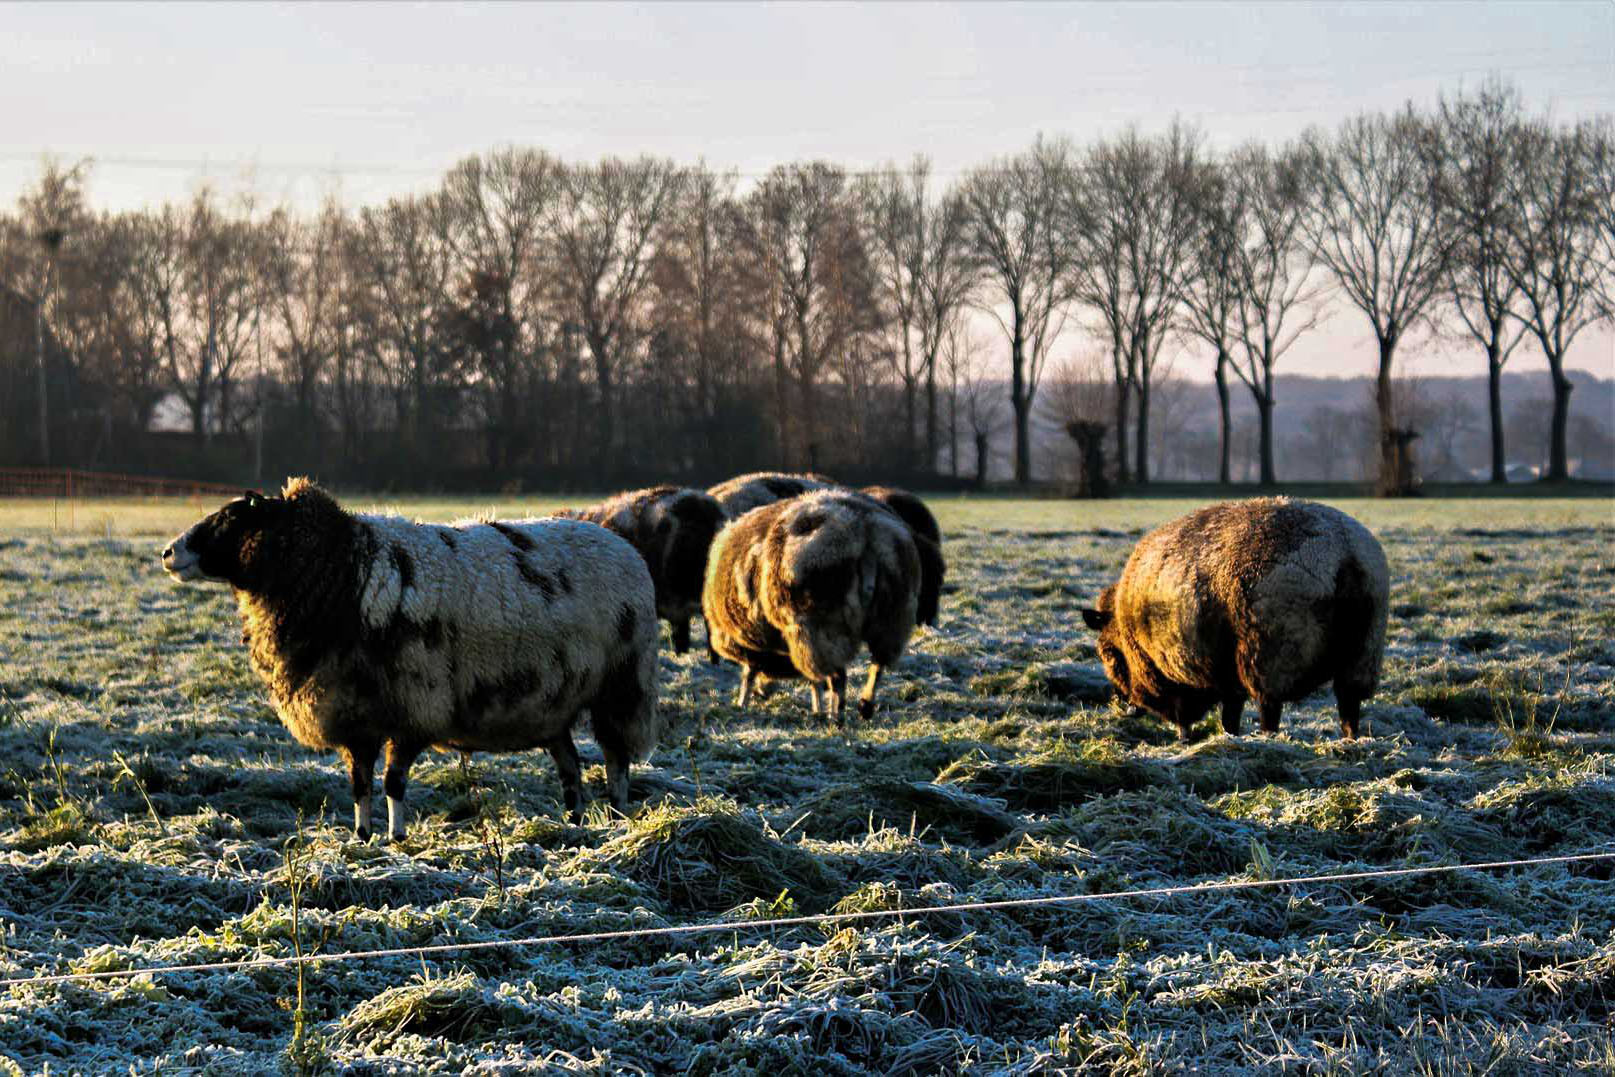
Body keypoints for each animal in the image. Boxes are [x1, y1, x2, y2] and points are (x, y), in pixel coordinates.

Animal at [160, 474, 665, 839]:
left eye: (229, 520)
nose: (167, 552)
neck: (343, 570)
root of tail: (619, 543)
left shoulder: (413, 708)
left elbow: (392, 783)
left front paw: (396, 838)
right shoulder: (353, 714)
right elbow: (359, 783)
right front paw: (361, 837)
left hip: (622, 686)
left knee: (616, 760)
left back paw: (618, 817)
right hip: (554, 703)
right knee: (570, 765)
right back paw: (574, 821)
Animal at [707, 487, 923, 723]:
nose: (762, 693)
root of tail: (863, 528)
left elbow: (752, 673)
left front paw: (743, 702)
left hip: (823, 628)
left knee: (838, 676)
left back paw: (836, 717)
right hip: (893, 617)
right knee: (878, 665)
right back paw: (865, 704)